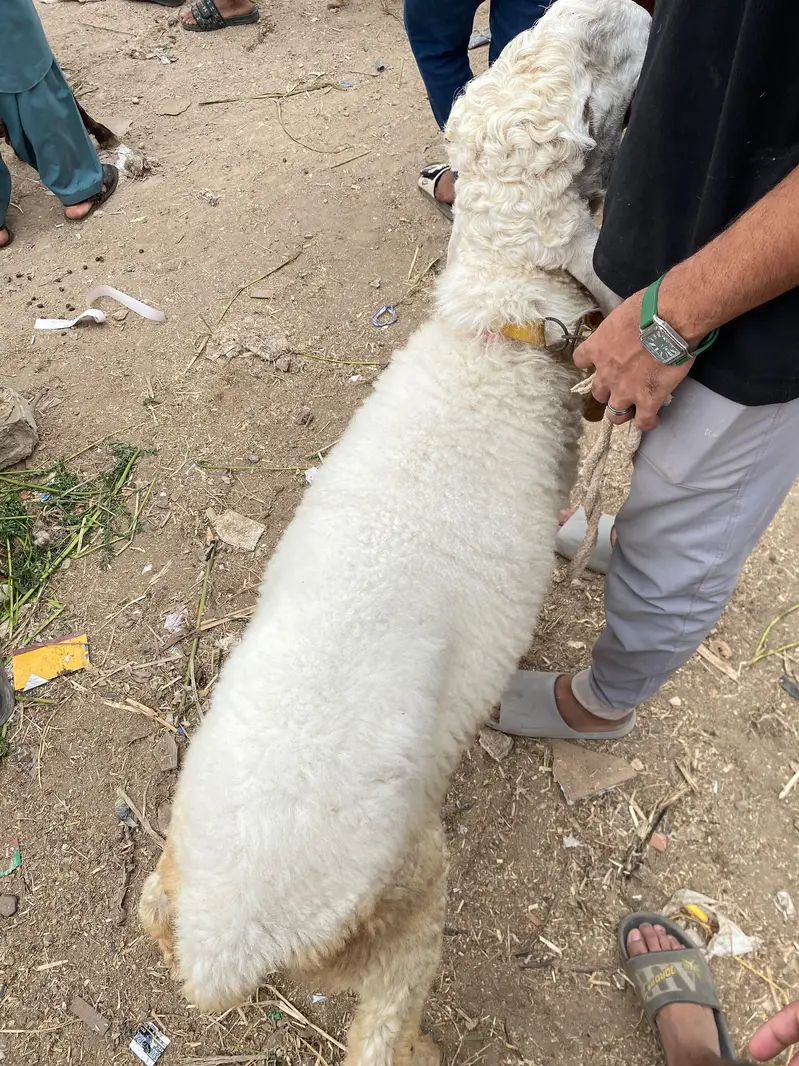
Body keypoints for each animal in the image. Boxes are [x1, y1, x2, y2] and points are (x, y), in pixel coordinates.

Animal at [139, 3, 651, 1064]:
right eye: (588, 103)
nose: (641, 12)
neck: (492, 332)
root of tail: (219, 947)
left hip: (176, 878)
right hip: (402, 902)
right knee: (387, 1022)